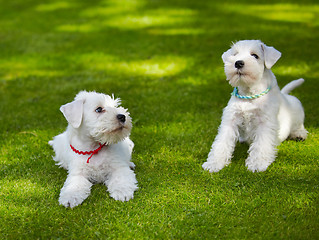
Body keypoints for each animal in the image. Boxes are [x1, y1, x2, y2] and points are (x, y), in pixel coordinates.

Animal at [204, 39, 308, 172]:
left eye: (255, 55)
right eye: (235, 54)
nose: (238, 63)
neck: (249, 93)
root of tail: (286, 95)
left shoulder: (265, 124)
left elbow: (261, 144)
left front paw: (257, 164)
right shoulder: (230, 120)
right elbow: (221, 142)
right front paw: (214, 163)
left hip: (298, 116)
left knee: (299, 126)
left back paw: (299, 134)